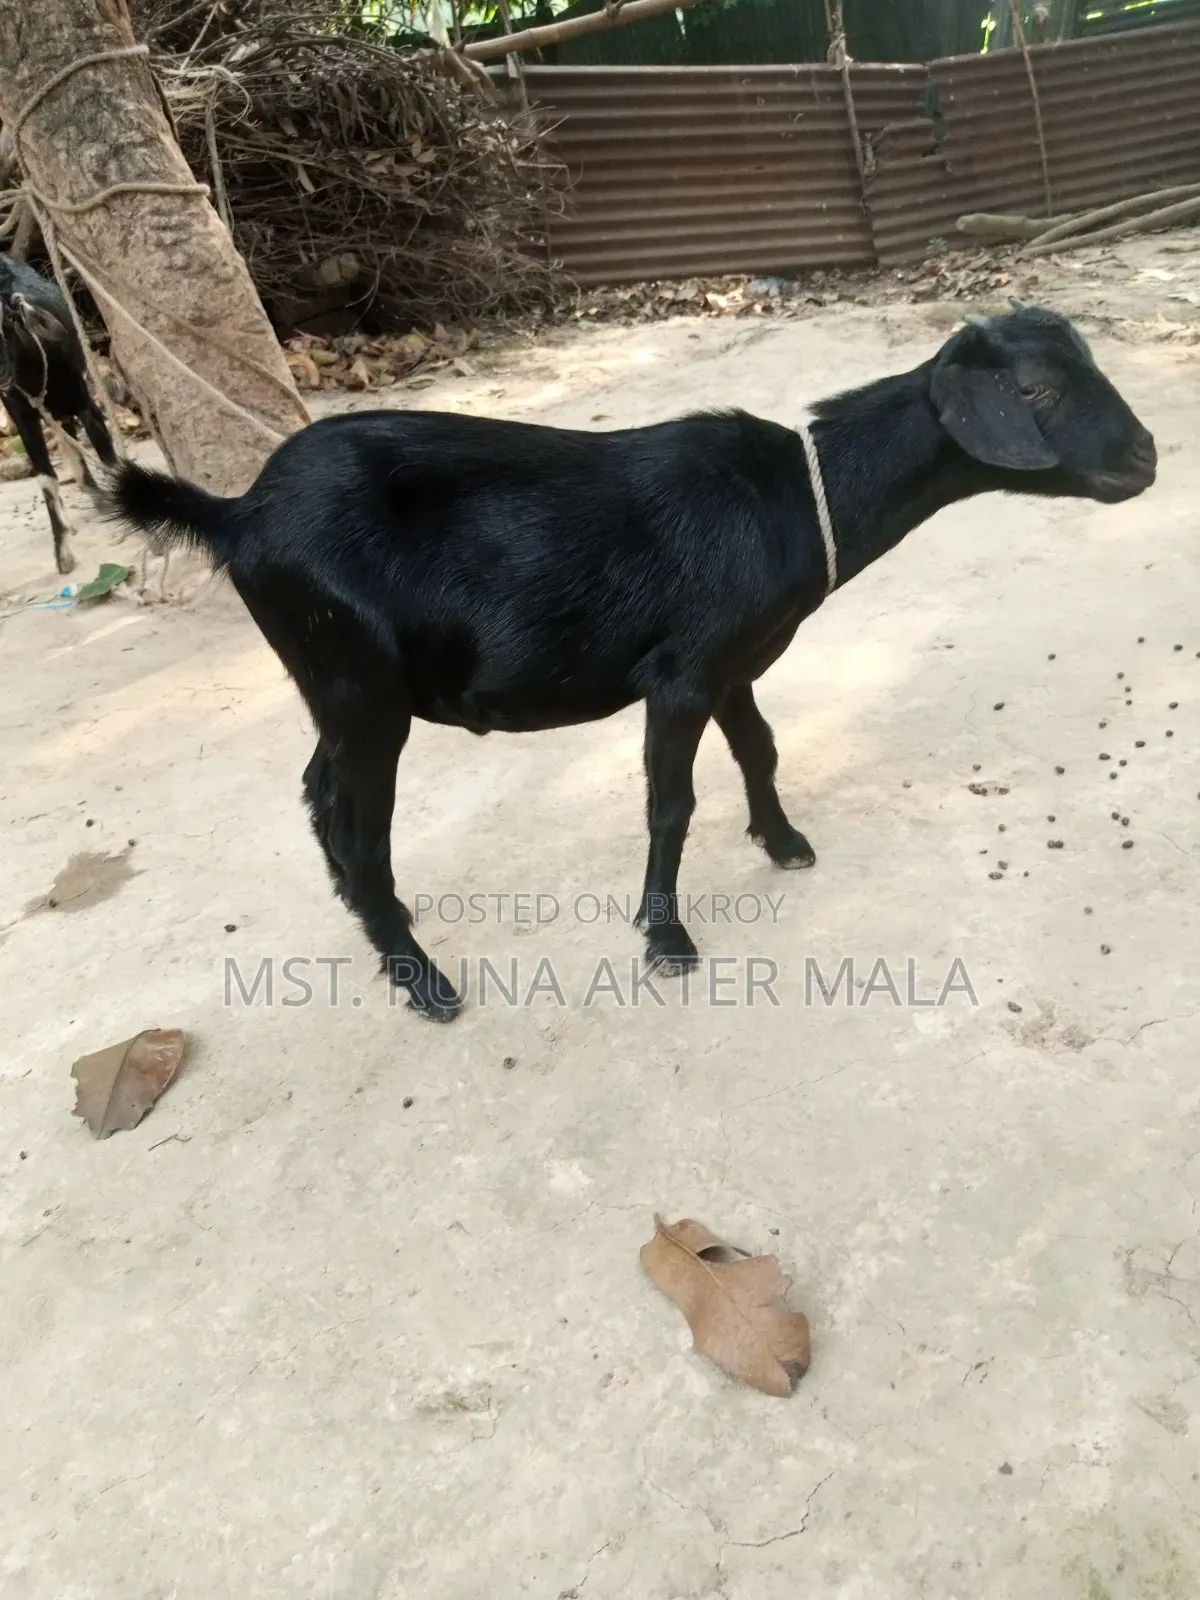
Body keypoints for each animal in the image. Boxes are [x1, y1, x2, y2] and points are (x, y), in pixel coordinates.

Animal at [1, 254, 117, 574]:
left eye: (5, 319)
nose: (0, 374)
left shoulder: (88, 407)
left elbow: (109, 461)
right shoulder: (22, 416)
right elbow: (46, 480)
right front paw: (63, 553)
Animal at [108, 304, 1156, 1021]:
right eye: (1036, 392)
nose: (1147, 458)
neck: (794, 497)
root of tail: (239, 515)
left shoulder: (733, 662)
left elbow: (760, 750)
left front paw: (783, 841)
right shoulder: (679, 676)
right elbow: (670, 803)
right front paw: (667, 937)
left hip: (339, 684)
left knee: (320, 790)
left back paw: (365, 920)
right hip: (358, 684)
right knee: (363, 824)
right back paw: (421, 977)